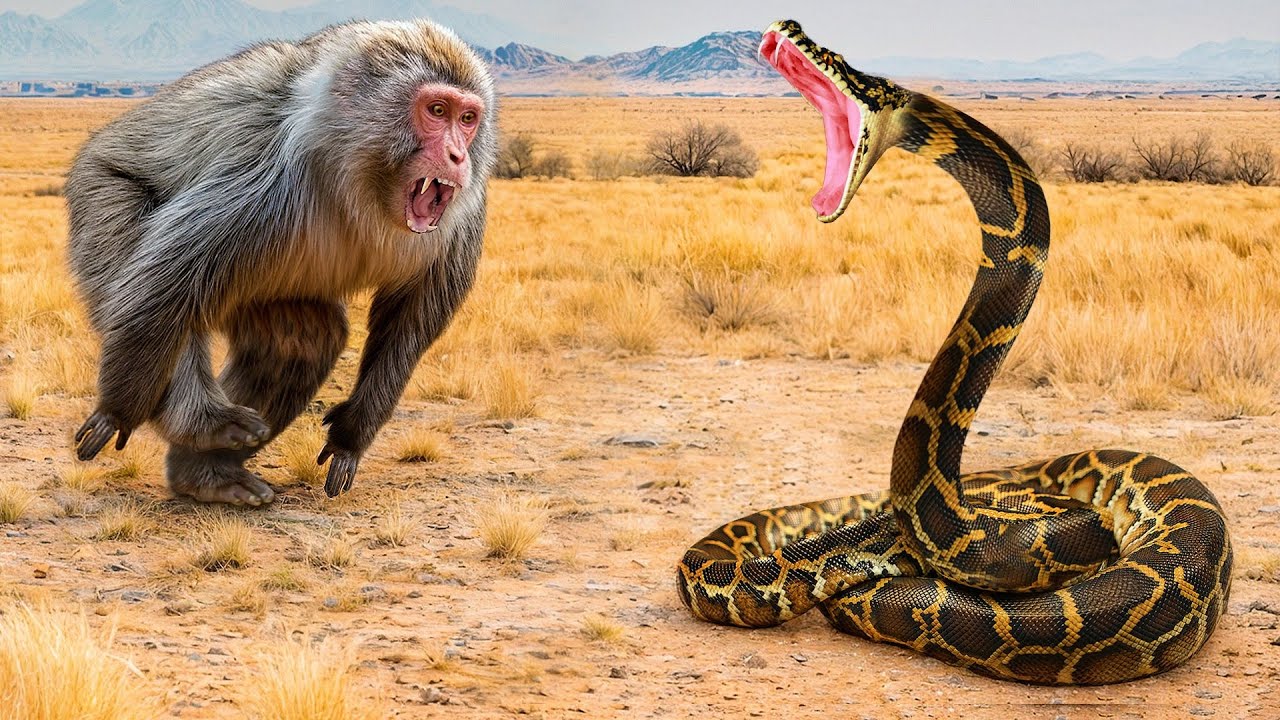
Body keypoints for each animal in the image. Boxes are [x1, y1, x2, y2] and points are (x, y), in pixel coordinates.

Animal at [64, 19, 497, 505]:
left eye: (467, 119)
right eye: (437, 110)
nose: (458, 156)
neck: (362, 181)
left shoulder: (466, 213)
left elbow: (412, 321)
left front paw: (351, 435)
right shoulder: (269, 178)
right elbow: (167, 285)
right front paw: (117, 411)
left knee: (302, 341)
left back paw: (205, 475)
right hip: (101, 193)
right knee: (151, 286)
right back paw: (203, 424)